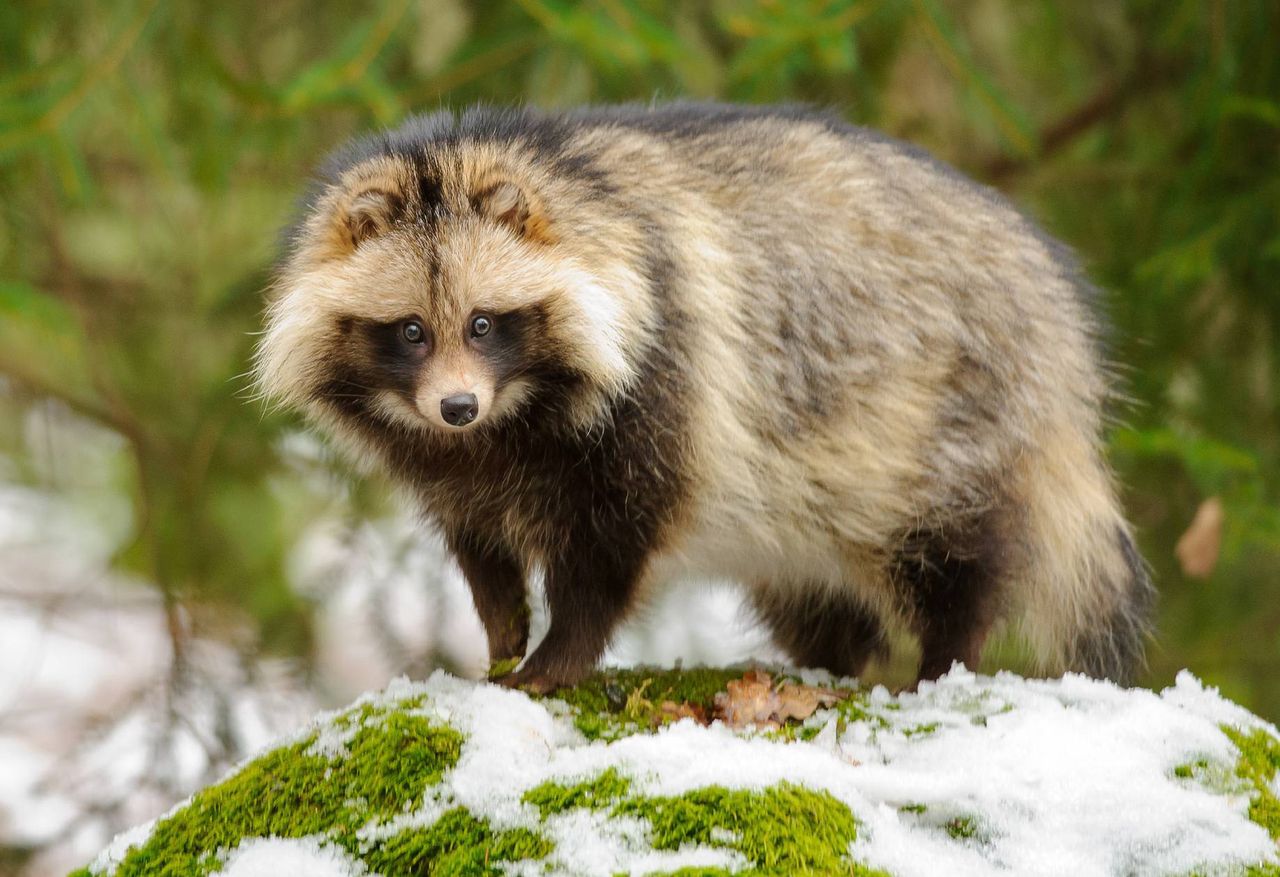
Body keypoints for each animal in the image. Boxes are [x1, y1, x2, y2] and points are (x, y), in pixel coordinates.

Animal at [254, 102, 1157, 691]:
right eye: (410, 331)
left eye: (482, 323)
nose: (456, 408)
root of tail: (1059, 311)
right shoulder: (450, 462)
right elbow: (480, 543)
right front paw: (503, 629)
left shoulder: (666, 371)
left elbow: (613, 541)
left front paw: (558, 653)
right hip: (816, 497)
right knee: (815, 593)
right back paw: (830, 660)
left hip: (951, 416)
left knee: (957, 554)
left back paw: (944, 658)